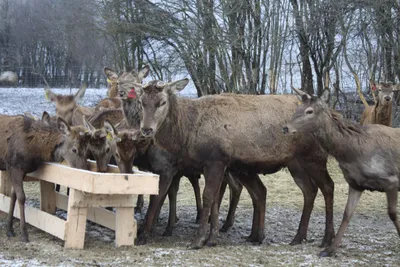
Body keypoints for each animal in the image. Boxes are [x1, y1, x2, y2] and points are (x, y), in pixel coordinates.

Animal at [0, 113, 90, 243]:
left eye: (87, 150)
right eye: (74, 149)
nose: (83, 169)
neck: (36, 149)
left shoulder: (20, 170)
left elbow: (13, 196)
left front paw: (9, 229)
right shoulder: (14, 166)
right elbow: (21, 197)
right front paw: (24, 234)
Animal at [131, 79, 334, 249]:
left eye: (162, 102)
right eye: (141, 102)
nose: (146, 129)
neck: (188, 133)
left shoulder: (215, 160)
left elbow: (208, 197)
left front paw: (198, 240)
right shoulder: (212, 165)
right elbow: (213, 199)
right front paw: (211, 238)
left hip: (313, 156)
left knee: (327, 186)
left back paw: (326, 239)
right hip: (292, 163)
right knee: (307, 190)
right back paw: (291, 236)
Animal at [282, 88, 400, 258]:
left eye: (309, 111)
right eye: (297, 108)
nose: (285, 128)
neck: (353, 153)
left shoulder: (391, 179)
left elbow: (392, 213)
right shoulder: (355, 183)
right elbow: (347, 214)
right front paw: (329, 250)